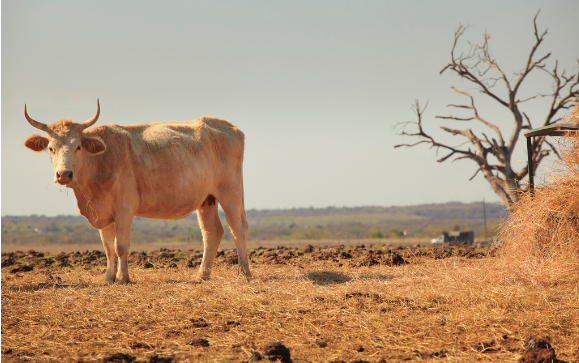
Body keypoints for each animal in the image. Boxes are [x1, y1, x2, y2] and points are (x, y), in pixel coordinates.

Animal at [23, 99, 250, 284]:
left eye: (78, 146)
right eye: (50, 148)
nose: (64, 174)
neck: (100, 162)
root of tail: (230, 127)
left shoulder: (124, 209)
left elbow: (121, 245)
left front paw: (123, 278)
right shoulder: (102, 212)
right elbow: (108, 248)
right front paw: (108, 278)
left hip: (230, 192)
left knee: (237, 228)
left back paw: (244, 273)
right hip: (206, 199)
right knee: (212, 233)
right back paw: (202, 275)